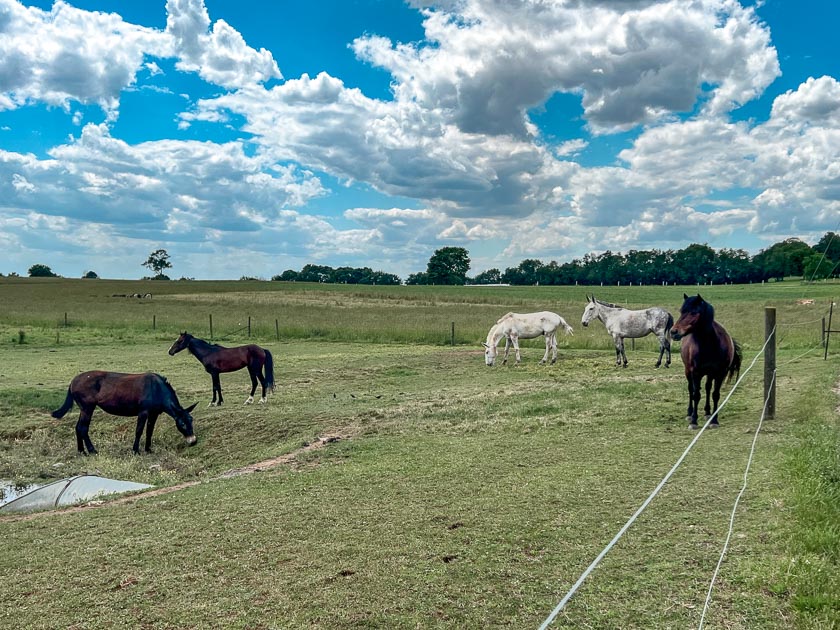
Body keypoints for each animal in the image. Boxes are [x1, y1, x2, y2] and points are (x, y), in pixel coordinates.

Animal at [51, 371, 197, 455]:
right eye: (182, 424)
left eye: (191, 420)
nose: (193, 442)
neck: (157, 389)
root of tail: (72, 382)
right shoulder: (143, 412)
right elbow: (139, 431)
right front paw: (135, 451)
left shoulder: (154, 413)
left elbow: (149, 431)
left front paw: (148, 449)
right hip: (88, 408)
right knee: (83, 428)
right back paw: (92, 451)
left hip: (84, 409)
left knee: (78, 428)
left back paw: (81, 451)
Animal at [671, 294, 742, 429]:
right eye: (681, 311)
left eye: (693, 312)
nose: (673, 332)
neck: (710, 345)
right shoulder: (696, 373)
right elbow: (696, 395)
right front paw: (694, 421)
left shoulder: (720, 373)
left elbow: (715, 394)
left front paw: (714, 420)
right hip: (688, 372)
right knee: (691, 389)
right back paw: (689, 413)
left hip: (710, 374)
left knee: (708, 389)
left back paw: (708, 412)